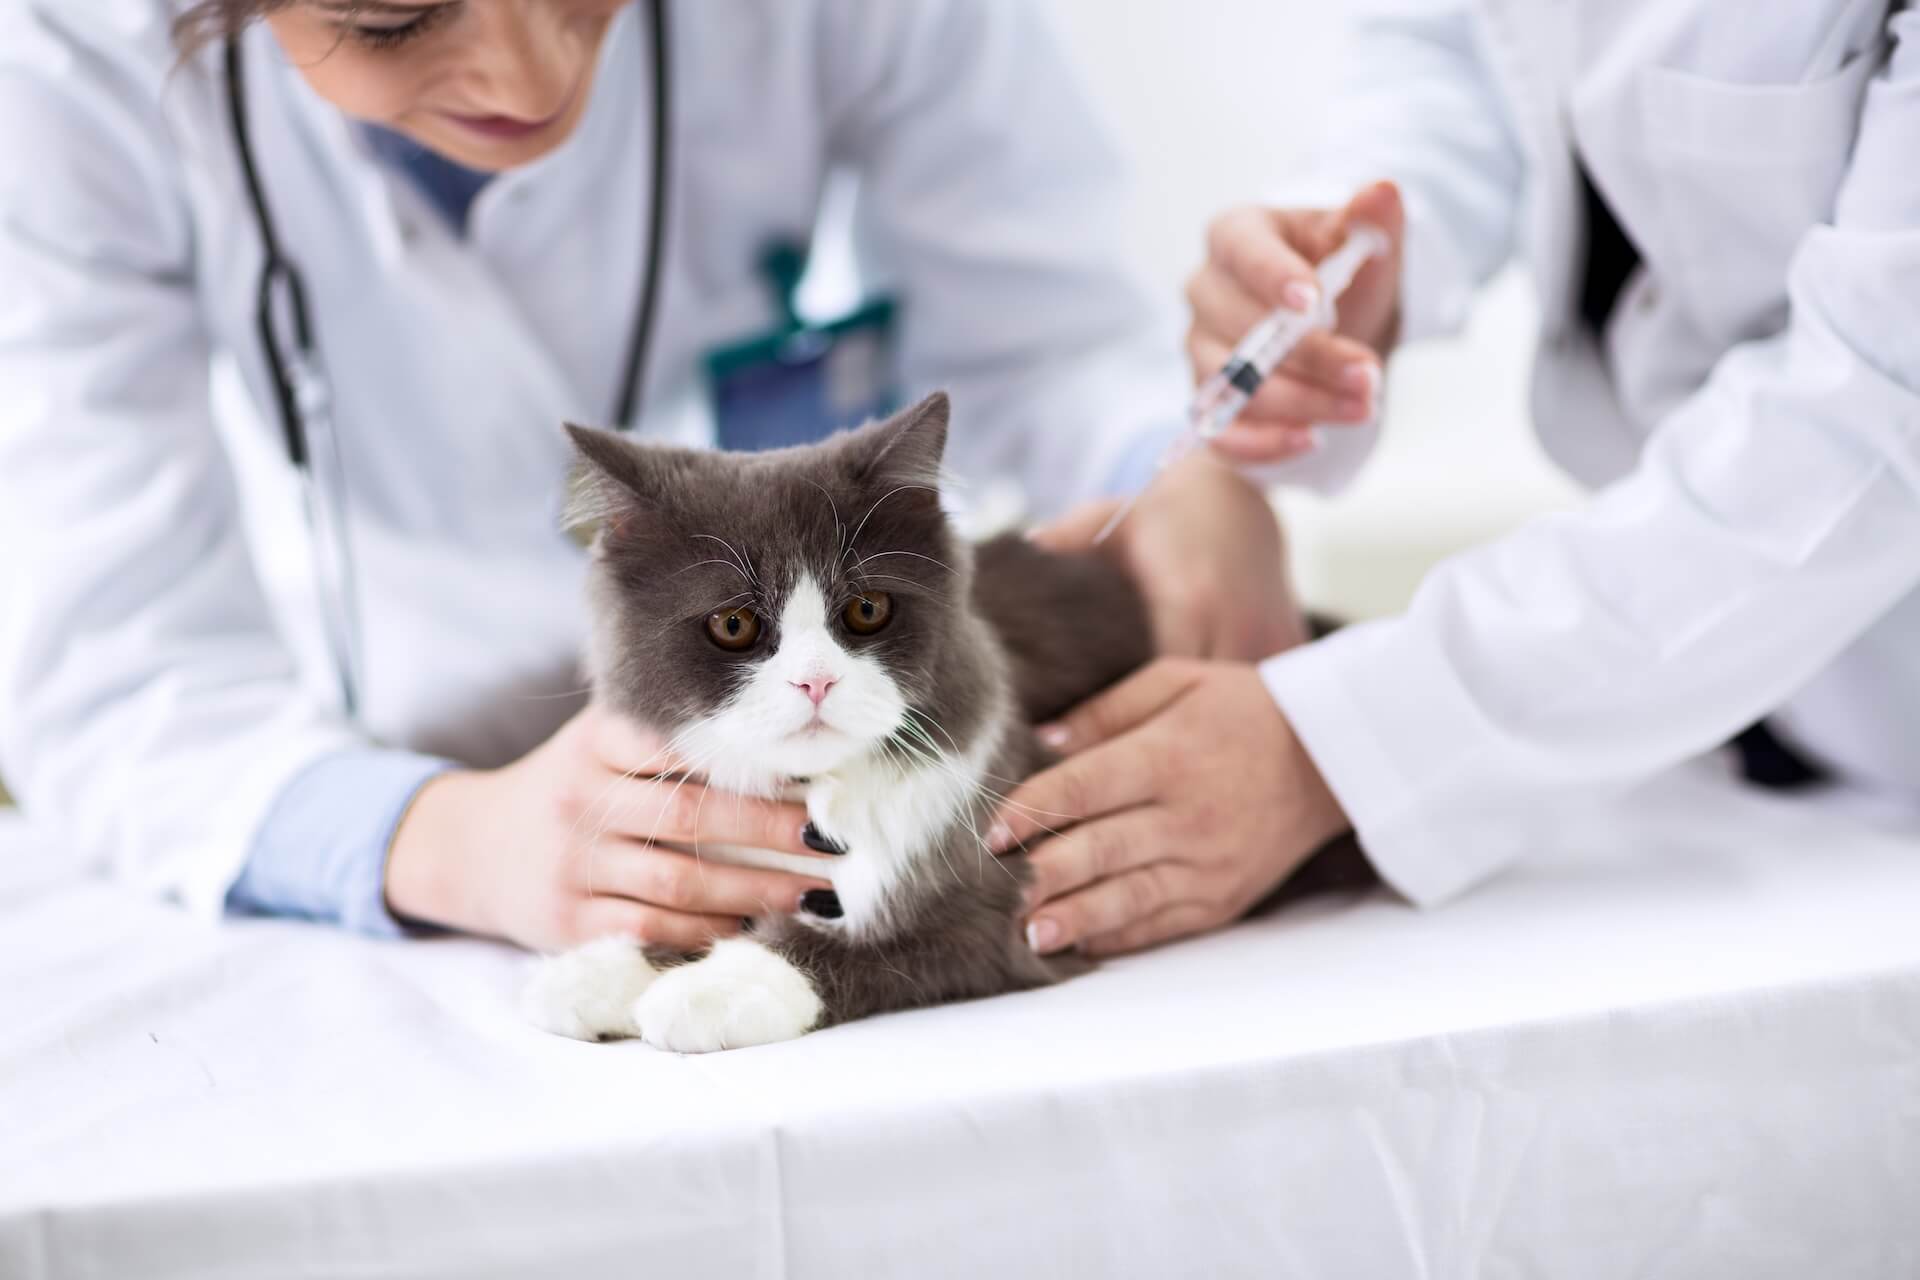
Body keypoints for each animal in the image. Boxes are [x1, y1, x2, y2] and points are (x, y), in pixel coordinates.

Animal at [518, 395, 1152, 1059]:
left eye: (867, 609)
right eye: (734, 624)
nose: (816, 682)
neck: (809, 790)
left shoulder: (1010, 907)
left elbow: (863, 943)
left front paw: (717, 986)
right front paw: (602, 970)